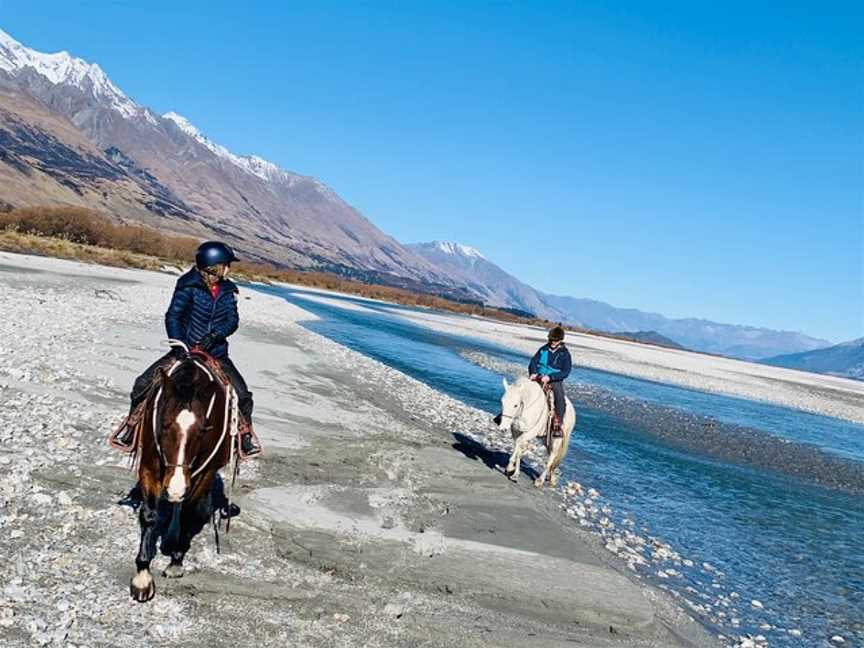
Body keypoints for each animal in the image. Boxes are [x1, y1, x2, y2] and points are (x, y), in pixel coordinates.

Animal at [128, 354, 233, 604]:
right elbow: (149, 515)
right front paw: (142, 578)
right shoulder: (149, 466)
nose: (175, 487)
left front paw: (176, 560)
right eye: (165, 424)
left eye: (203, 430)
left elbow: (187, 513)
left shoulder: (203, 473)